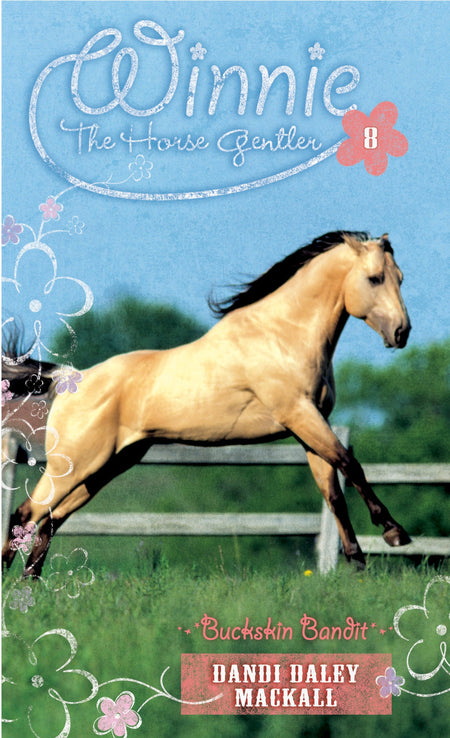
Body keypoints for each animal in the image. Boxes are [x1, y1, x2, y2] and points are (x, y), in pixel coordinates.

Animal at [2, 230, 412, 578]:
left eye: (400, 278)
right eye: (375, 278)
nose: (401, 333)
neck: (281, 336)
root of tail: (70, 378)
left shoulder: (310, 428)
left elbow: (333, 492)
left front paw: (358, 562)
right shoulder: (300, 415)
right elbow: (351, 465)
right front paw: (394, 533)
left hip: (107, 466)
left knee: (51, 517)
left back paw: (30, 582)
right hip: (75, 465)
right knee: (27, 513)